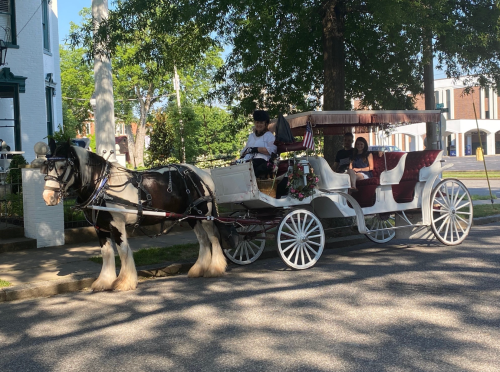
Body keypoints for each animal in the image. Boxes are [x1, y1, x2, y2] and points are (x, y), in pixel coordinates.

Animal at [43, 142, 227, 290]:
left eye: (62, 166)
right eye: (47, 166)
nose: (48, 197)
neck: (102, 186)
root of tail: (200, 172)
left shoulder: (117, 225)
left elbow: (123, 251)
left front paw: (124, 282)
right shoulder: (99, 228)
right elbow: (107, 253)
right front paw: (104, 281)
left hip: (204, 215)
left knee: (213, 237)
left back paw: (215, 268)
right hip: (191, 217)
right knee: (203, 239)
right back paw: (199, 269)